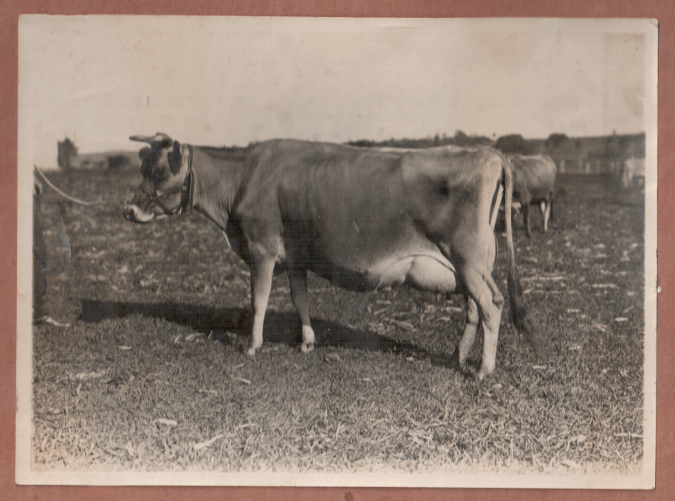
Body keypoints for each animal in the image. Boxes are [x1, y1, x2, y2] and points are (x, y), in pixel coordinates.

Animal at [123, 133, 542, 380]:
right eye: (141, 166)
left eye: (158, 171)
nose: (127, 210)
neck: (239, 180)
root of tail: (490, 154)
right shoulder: (294, 257)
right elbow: (300, 299)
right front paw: (307, 341)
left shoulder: (261, 249)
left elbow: (259, 301)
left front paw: (252, 345)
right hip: (473, 265)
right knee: (478, 306)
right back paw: (457, 357)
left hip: (469, 259)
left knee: (491, 305)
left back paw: (484, 369)